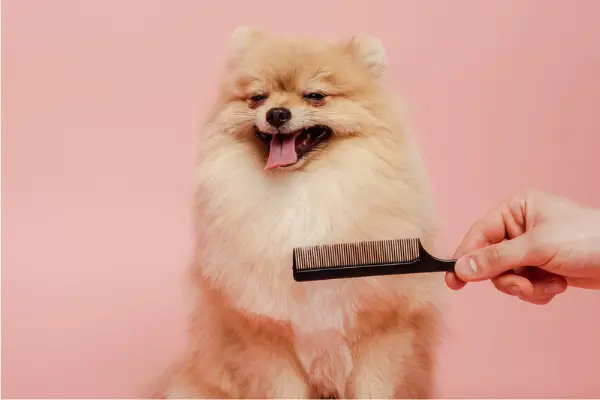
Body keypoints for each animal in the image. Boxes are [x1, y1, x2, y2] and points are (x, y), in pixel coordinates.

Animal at [159, 26, 446, 398]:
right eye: (258, 97)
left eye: (315, 96)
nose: (277, 114)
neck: (302, 189)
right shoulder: (264, 333)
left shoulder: (384, 327)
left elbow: (373, 387)